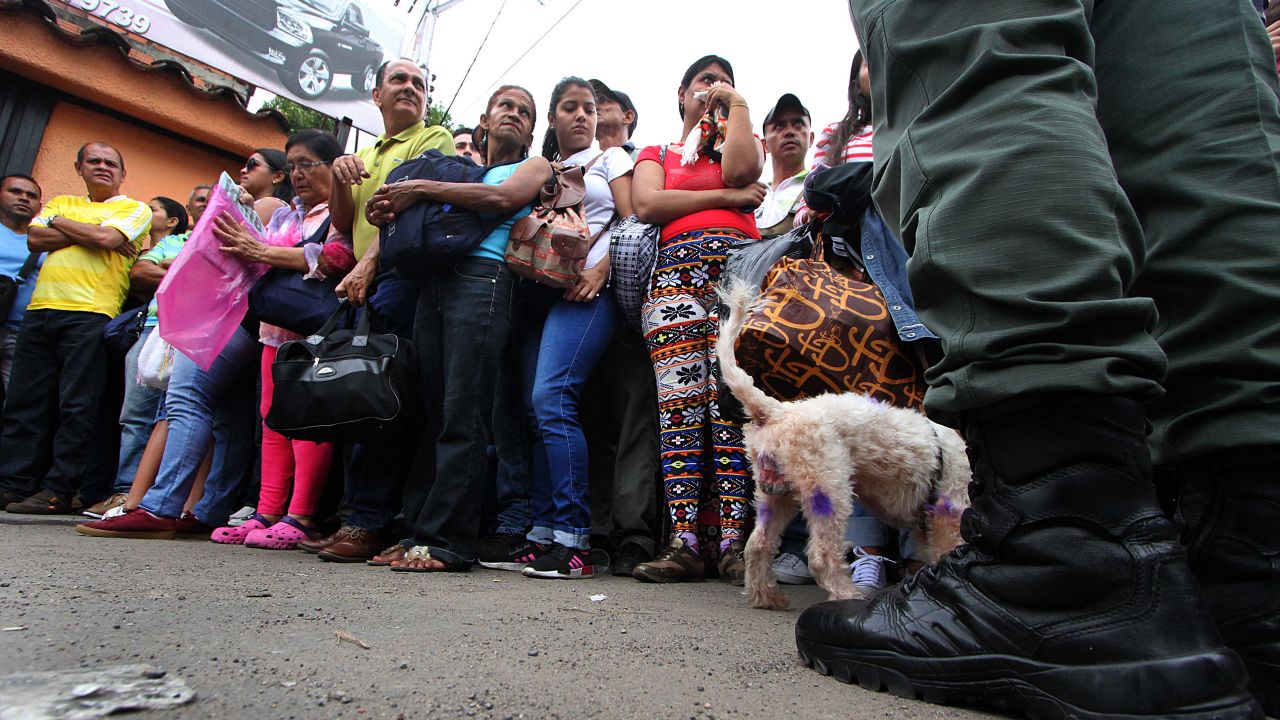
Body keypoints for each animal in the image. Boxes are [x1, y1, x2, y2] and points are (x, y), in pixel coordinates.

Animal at [721, 279, 967, 604]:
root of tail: (778, 411)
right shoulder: (949, 514)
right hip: (829, 489)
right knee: (821, 556)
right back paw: (849, 595)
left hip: (775, 494)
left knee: (758, 545)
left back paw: (768, 597)